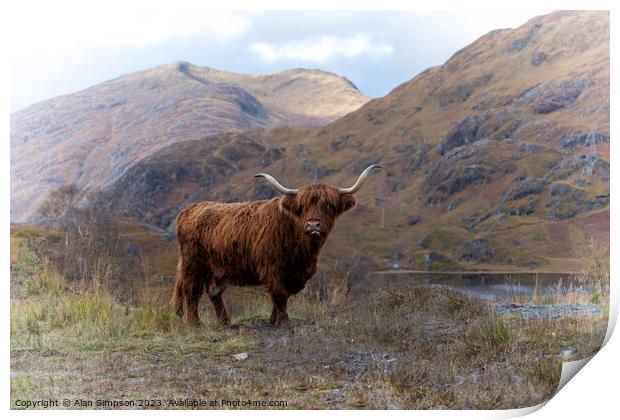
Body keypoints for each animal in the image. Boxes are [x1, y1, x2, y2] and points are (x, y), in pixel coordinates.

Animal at [172, 166, 380, 326]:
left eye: (329, 205)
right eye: (302, 206)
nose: (313, 225)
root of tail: (190, 208)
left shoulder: (293, 273)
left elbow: (280, 296)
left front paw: (273, 321)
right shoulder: (271, 267)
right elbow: (279, 294)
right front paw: (283, 323)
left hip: (216, 268)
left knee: (212, 291)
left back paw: (224, 322)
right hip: (193, 263)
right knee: (191, 291)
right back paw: (195, 324)